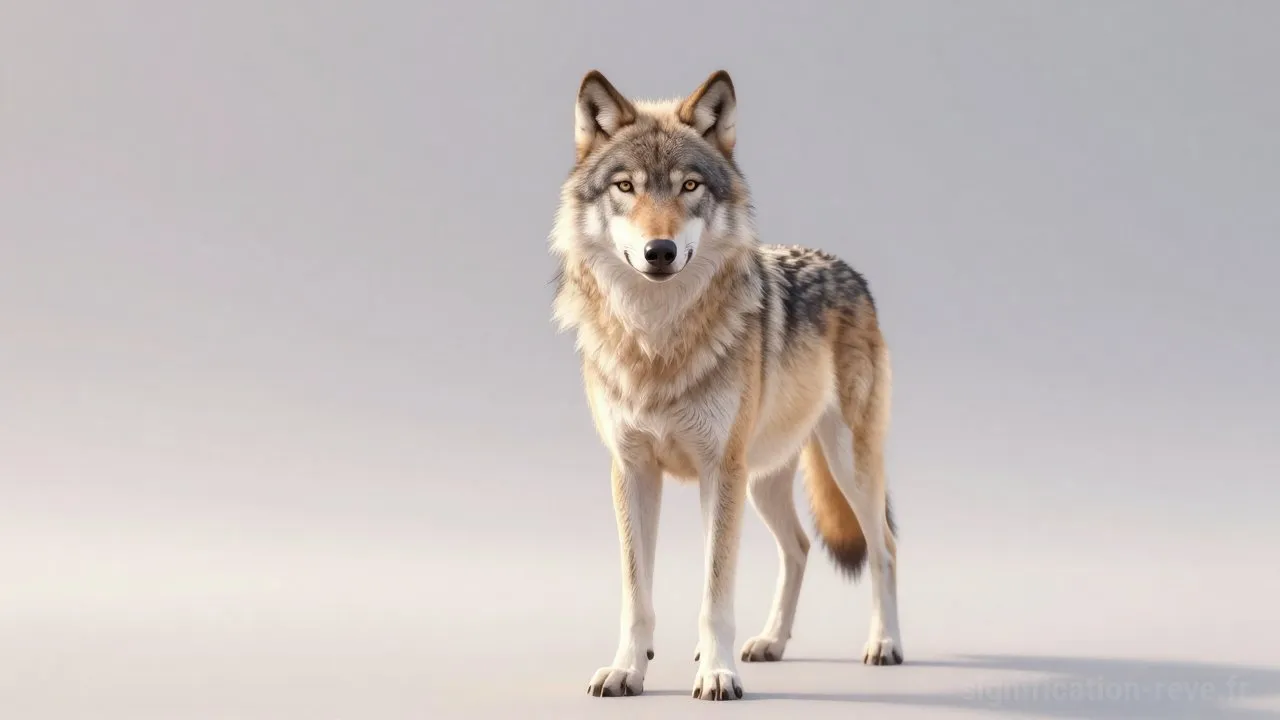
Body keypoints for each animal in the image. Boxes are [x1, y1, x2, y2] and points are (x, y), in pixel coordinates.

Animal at [548, 69, 903, 701]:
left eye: (690, 185)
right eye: (625, 187)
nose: (659, 250)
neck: (658, 342)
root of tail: (848, 269)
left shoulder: (719, 471)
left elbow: (715, 594)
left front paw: (716, 674)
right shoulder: (632, 471)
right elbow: (636, 595)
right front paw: (627, 668)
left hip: (845, 468)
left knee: (884, 549)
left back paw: (884, 644)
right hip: (762, 481)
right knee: (799, 548)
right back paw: (770, 642)